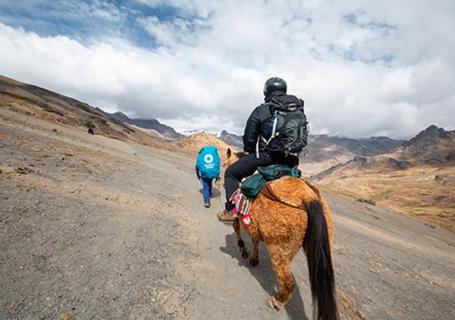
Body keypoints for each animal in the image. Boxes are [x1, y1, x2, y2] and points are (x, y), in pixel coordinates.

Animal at [225, 149, 338, 320]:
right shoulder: (255, 225)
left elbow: (237, 228)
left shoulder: (239, 216)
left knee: (288, 282)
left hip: (278, 249)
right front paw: (254, 258)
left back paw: (276, 301)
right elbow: (255, 239)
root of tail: (309, 198)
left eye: (224, 163)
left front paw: (243, 249)